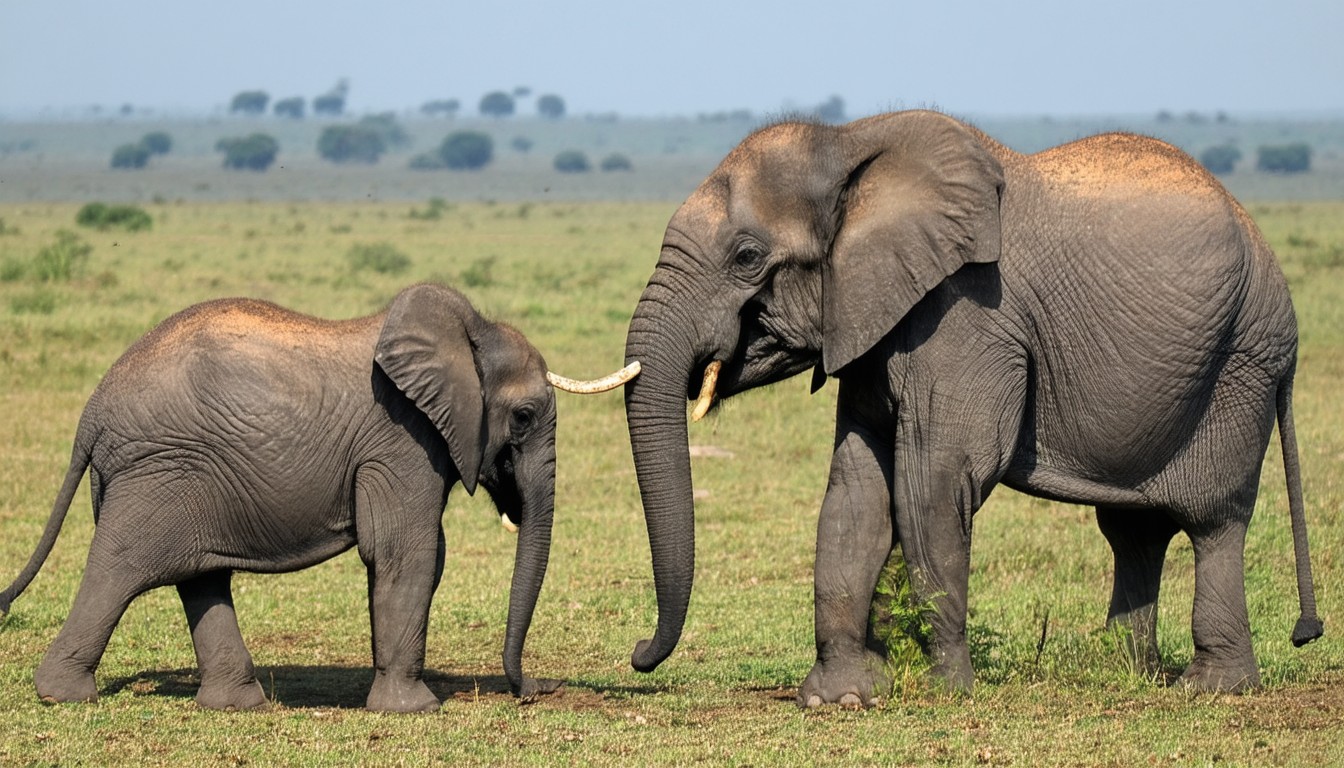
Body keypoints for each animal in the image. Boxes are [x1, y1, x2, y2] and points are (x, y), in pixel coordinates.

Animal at [0, 282, 639, 712]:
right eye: (524, 416)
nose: (537, 690)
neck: (469, 334)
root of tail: (92, 410)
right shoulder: (400, 437)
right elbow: (409, 554)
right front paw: (413, 710)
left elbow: (413, 558)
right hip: (159, 469)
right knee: (122, 568)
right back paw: (63, 696)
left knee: (200, 578)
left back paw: (237, 705)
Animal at [618, 110, 1323, 707]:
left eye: (747, 257)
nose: (639, 652)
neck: (849, 142)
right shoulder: (875, 319)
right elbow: (856, 490)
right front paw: (840, 699)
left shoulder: (966, 317)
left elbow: (932, 482)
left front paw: (947, 691)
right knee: (1135, 531)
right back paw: (1125, 672)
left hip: (1243, 365)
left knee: (1213, 519)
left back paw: (1213, 688)